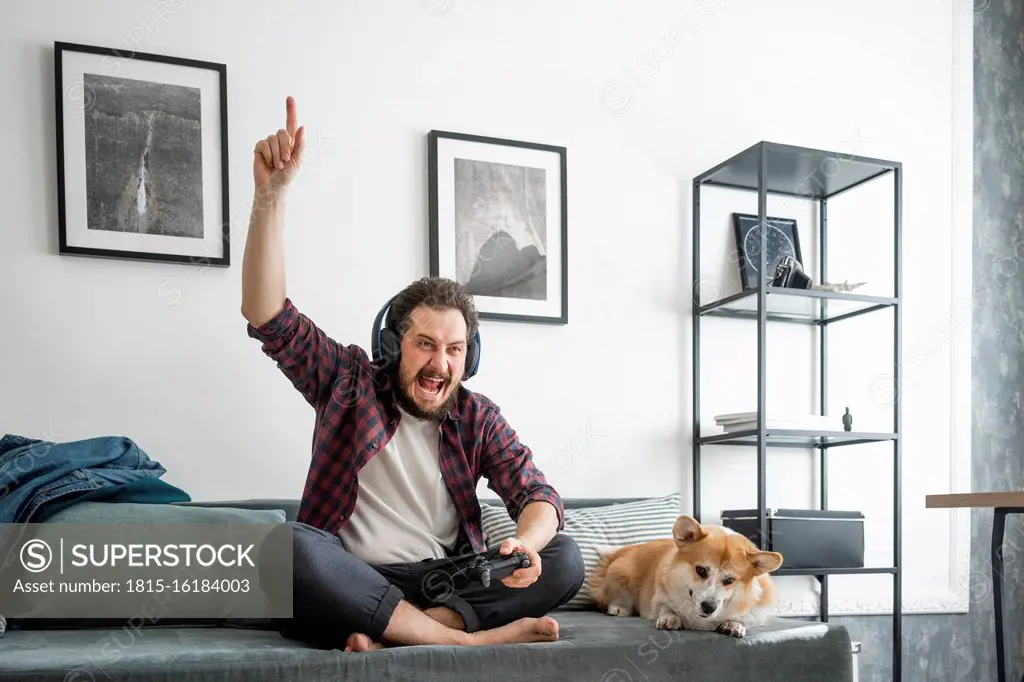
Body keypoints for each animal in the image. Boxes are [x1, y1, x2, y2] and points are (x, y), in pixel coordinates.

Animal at [585, 512, 782, 634]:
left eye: (730, 580)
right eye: (701, 570)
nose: (708, 607)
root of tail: (624, 551)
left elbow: (745, 618)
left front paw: (735, 625)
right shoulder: (659, 599)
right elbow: (665, 608)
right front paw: (670, 618)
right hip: (621, 574)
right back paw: (618, 608)